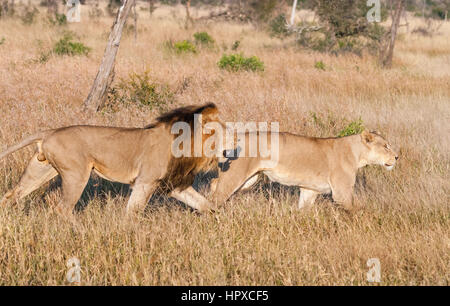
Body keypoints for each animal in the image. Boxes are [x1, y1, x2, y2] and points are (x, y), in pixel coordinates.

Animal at [0, 103, 222, 215]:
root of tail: (49, 132)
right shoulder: (145, 181)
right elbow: (133, 210)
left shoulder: (174, 185)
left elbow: (205, 204)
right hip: (76, 174)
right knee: (62, 209)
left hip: (40, 170)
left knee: (11, 195)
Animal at [210, 129, 398, 210]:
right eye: (386, 146)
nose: (397, 157)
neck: (358, 154)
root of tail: (237, 136)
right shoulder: (341, 193)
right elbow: (358, 209)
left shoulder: (310, 190)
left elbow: (303, 210)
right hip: (237, 176)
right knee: (217, 194)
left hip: (249, 179)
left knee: (213, 183)